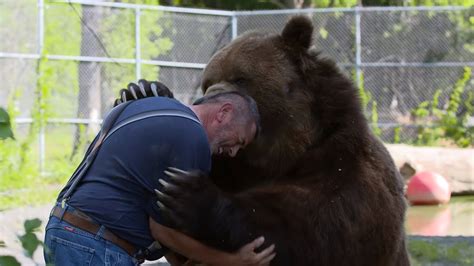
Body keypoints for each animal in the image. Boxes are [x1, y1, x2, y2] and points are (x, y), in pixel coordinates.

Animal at [132, 15, 408, 266]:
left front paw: (188, 195)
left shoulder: (345, 174)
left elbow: (304, 228)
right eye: (207, 82)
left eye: (240, 77)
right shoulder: (231, 168)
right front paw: (143, 90)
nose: (209, 100)